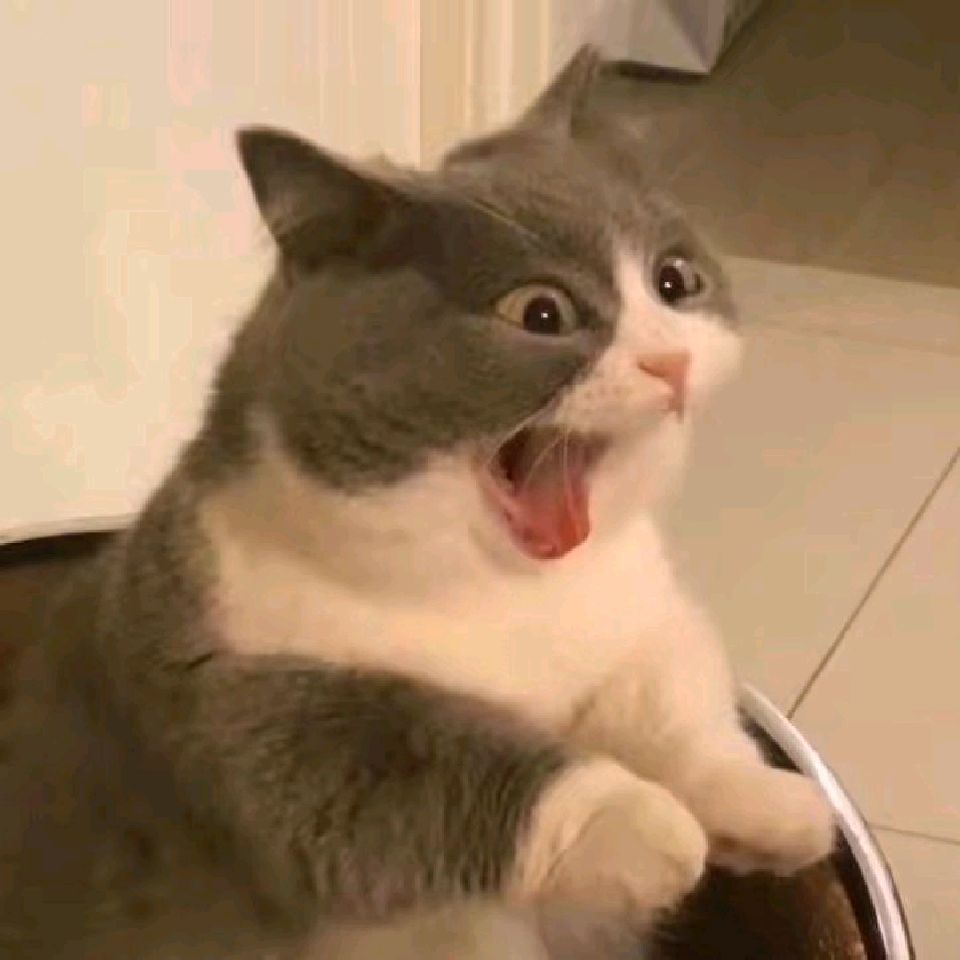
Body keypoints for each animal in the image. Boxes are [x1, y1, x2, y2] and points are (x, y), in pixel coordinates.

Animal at [0, 47, 835, 959]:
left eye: (675, 281)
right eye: (541, 311)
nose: (670, 362)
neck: (507, 593)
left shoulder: (642, 609)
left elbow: (671, 690)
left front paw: (767, 809)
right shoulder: (219, 696)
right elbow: (414, 754)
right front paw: (649, 825)